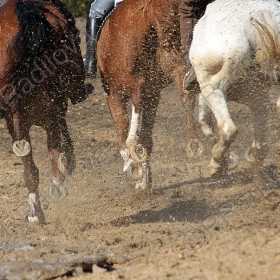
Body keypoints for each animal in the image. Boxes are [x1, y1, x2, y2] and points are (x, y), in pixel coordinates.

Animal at [0, 0, 93, 223]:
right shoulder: (55, 106)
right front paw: (68, 160)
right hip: (50, 104)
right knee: (47, 150)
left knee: (28, 158)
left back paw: (37, 210)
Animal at [97, 0, 202, 189]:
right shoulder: (154, 94)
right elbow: (146, 136)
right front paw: (144, 180)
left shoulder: (114, 94)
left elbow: (123, 135)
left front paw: (135, 167)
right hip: (178, 63)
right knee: (186, 96)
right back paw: (194, 142)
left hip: (130, 82)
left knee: (137, 97)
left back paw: (134, 147)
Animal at [190, 0, 280, 175]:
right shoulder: (258, 96)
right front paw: (256, 154)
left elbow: (204, 120)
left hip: (213, 87)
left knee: (228, 128)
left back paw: (216, 162)